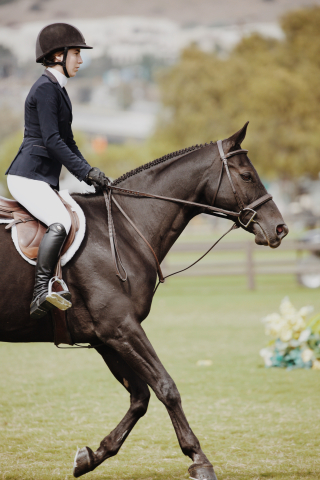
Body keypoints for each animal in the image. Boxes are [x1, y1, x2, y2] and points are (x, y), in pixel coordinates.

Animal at [0, 124, 288, 480]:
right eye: (247, 176)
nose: (280, 228)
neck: (123, 230)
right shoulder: (121, 327)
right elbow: (166, 387)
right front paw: (199, 459)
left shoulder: (105, 337)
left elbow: (140, 397)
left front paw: (91, 456)